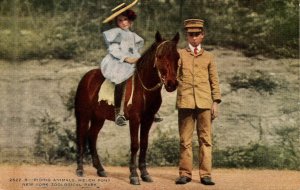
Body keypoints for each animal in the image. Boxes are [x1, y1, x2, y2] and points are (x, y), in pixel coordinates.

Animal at [74, 31, 179, 185]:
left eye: (177, 57)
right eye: (160, 56)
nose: (172, 84)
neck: (144, 88)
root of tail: (86, 77)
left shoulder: (148, 120)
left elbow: (144, 144)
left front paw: (145, 174)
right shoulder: (135, 119)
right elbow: (135, 144)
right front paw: (134, 175)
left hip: (98, 118)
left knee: (92, 137)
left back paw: (100, 170)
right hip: (84, 115)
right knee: (81, 138)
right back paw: (80, 170)